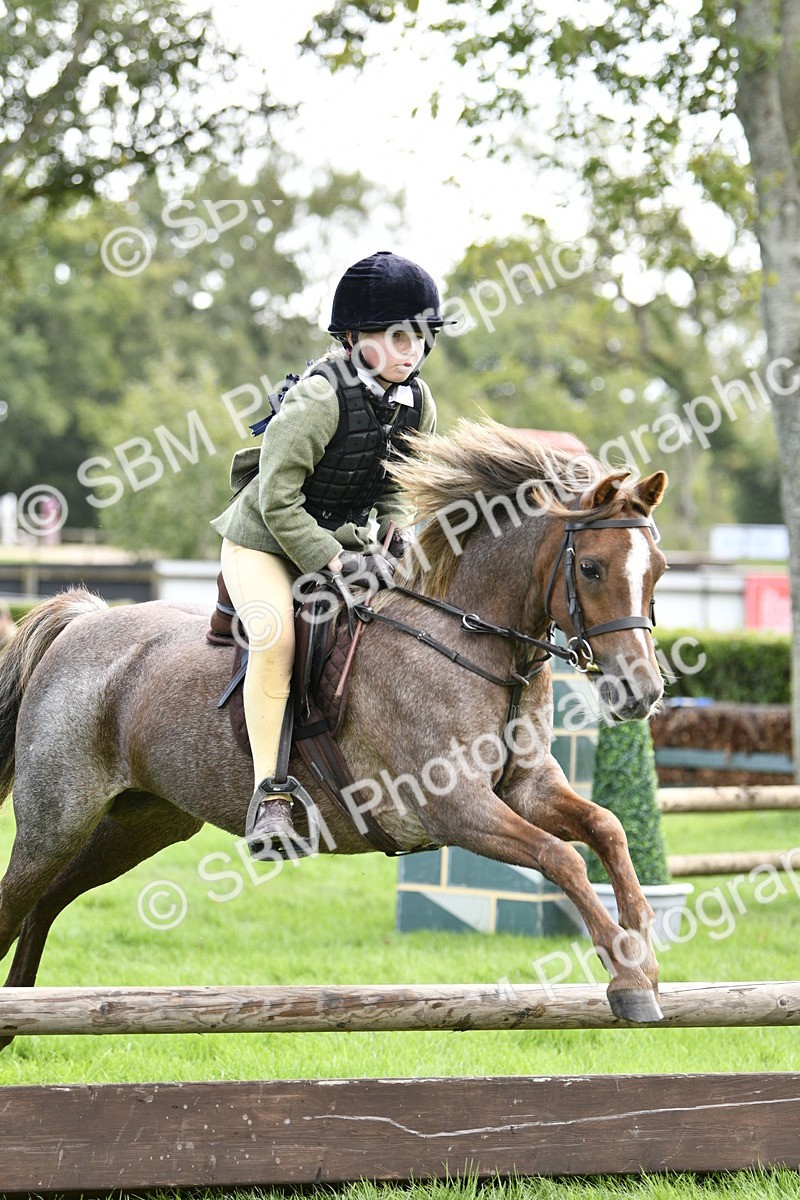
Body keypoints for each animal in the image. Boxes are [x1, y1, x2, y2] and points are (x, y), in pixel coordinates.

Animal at [0, 420, 668, 1038]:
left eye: (658, 571)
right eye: (591, 568)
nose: (642, 692)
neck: (466, 635)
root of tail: (83, 622)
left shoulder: (524, 787)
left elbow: (606, 829)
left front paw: (643, 948)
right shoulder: (455, 806)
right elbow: (562, 857)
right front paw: (629, 979)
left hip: (144, 823)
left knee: (45, 904)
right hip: (55, 822)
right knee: (19, 900)